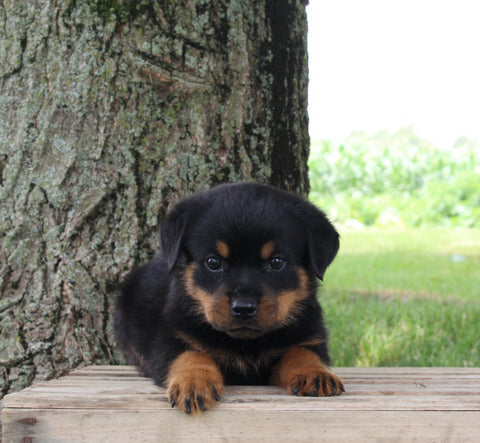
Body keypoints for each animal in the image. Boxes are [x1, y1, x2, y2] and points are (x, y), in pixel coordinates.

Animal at [114, 182, 344, 414]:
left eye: (277, 262)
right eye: (213, 262)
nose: (243, 308)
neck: (246, 343)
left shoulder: (310, 335)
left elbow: (302, 352)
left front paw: (315, 373)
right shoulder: (172, 335)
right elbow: (189, 354)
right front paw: (194, 382)